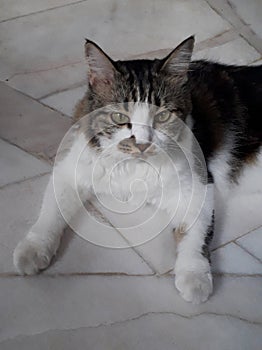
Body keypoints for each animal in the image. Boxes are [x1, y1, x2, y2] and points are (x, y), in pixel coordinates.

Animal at [13, 36, 262, 304]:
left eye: (162, 116)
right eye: (119, 117)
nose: (142, 143)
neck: (132, 167)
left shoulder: (198, 184)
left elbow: (195, 233)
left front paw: (194, 276)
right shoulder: (70, 168)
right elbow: (51, 211)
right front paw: (33, 248)